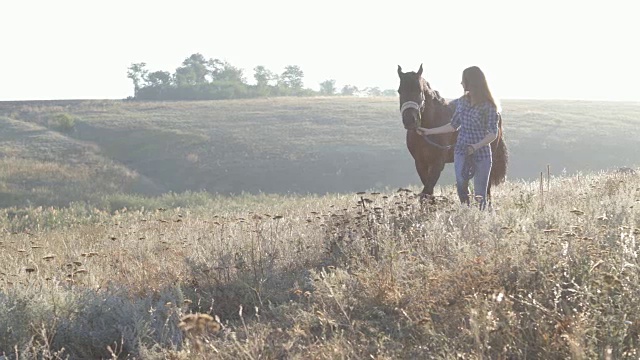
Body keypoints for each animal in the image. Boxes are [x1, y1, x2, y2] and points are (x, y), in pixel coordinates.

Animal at [398, 63, 508, 201]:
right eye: (399, 91)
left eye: (419, 90)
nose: (409, 120)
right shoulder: (420, 164)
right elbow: (427, 192)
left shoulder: (437, 164)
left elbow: (427, 190)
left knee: (486, 187)